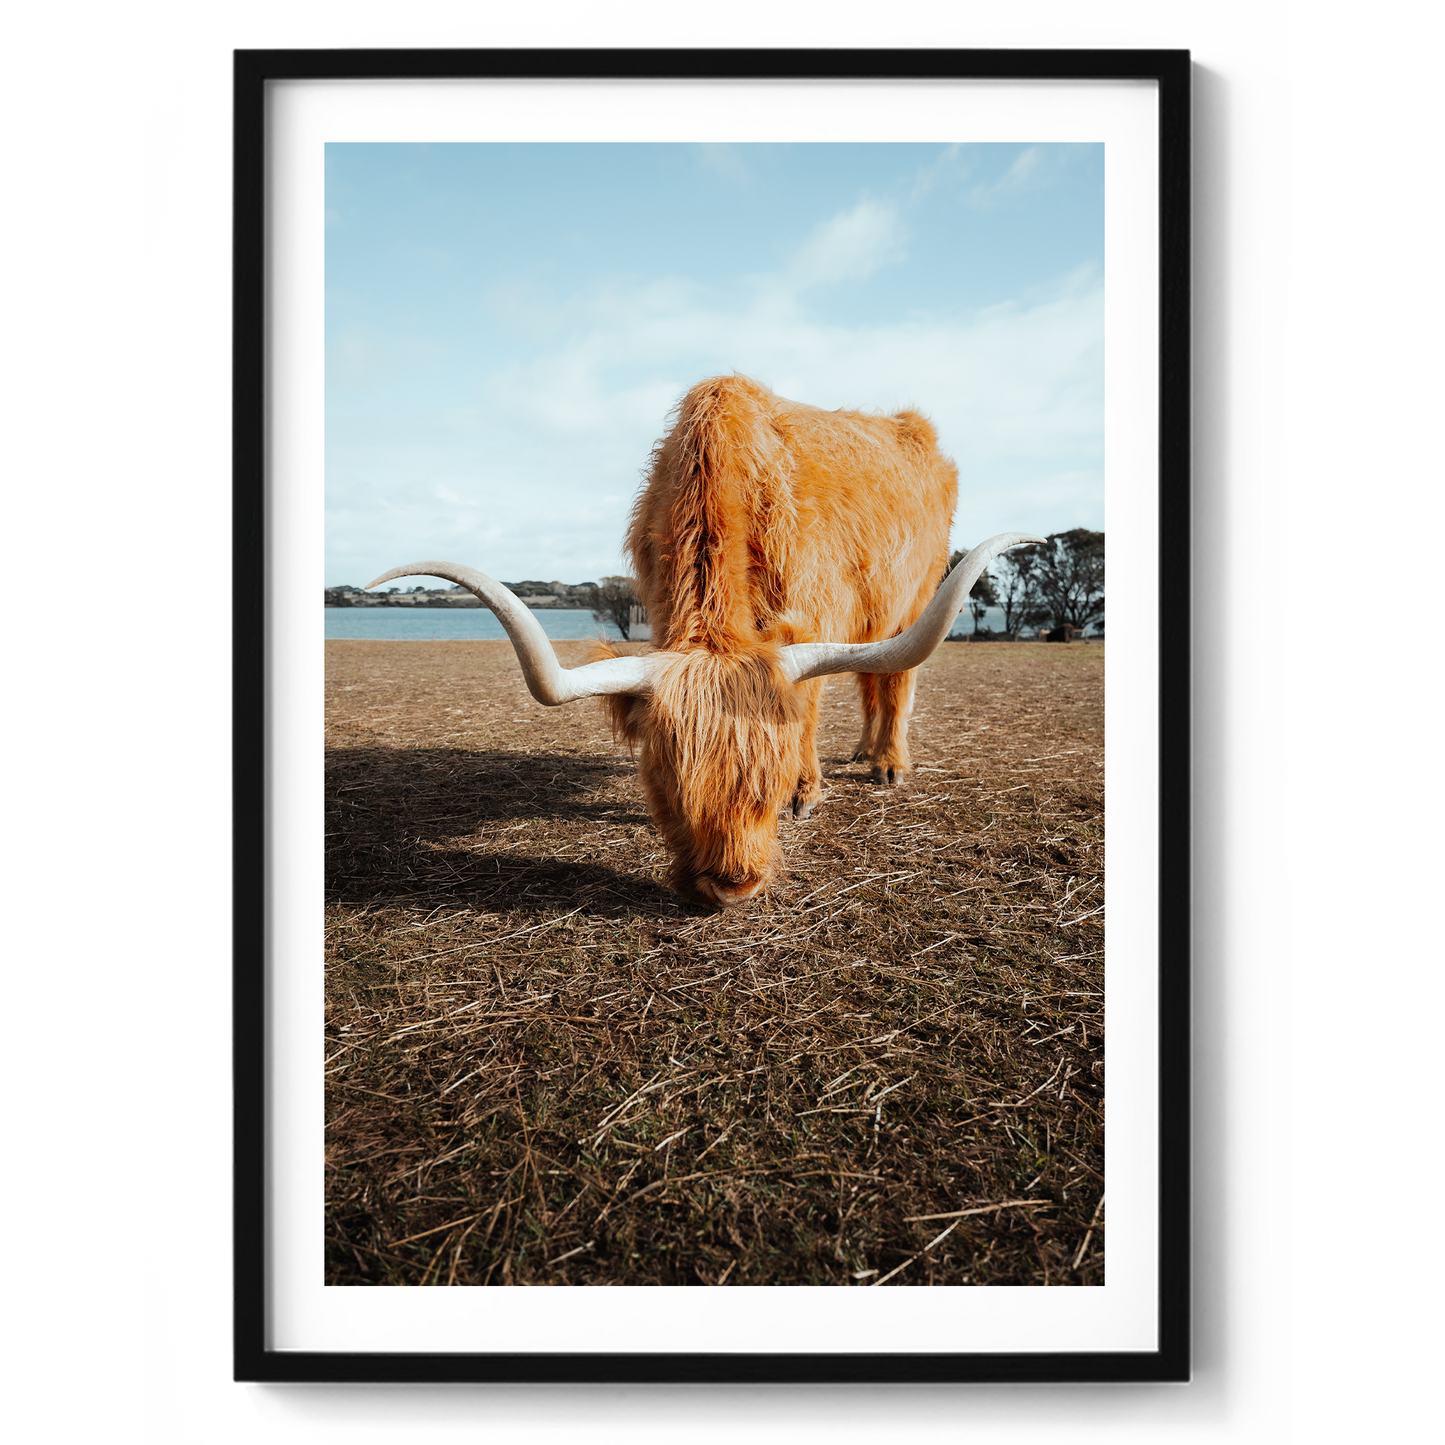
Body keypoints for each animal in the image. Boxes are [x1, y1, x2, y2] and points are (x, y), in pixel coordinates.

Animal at [367, 374, 1043, 909]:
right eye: (665, 781)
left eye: (770, 782)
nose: (732, 885)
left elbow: (810, 712)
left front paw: (807, 793)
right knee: (872, 681)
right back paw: (862, 753)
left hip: (918, 597)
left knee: (896, 679)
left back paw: (887, 765)